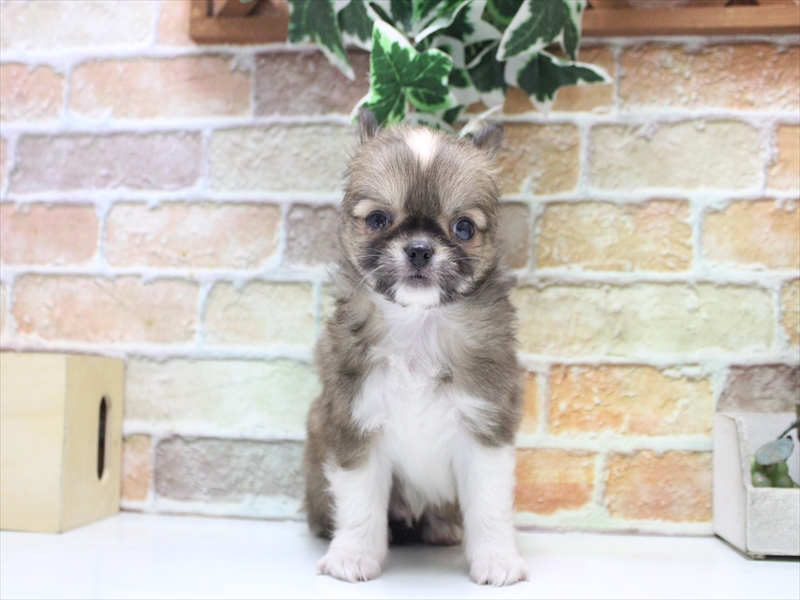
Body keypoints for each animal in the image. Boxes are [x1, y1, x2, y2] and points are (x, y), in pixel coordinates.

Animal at [303, 109, 528, 586]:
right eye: (378, 220)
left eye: (463, 228)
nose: (421, 250)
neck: (418, 330)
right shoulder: (356, 421)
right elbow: (360, 502)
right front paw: (353, 556)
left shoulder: (485, 424)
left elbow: (488, 505)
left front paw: (497, 559)